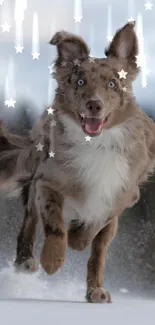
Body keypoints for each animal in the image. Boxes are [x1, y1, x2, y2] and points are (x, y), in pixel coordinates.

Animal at [0, 21, 155, 302]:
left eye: (113, 83)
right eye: (80, 81)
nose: (94, 105)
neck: (95, 143)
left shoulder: (122, 195)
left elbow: (95, 226)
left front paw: (77, 238)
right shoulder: (46, 182)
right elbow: (54, 224)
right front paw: (52, 260)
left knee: (98, 255)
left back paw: (96, 290)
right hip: (33, 188)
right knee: (29, 223)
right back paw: (26, 261)